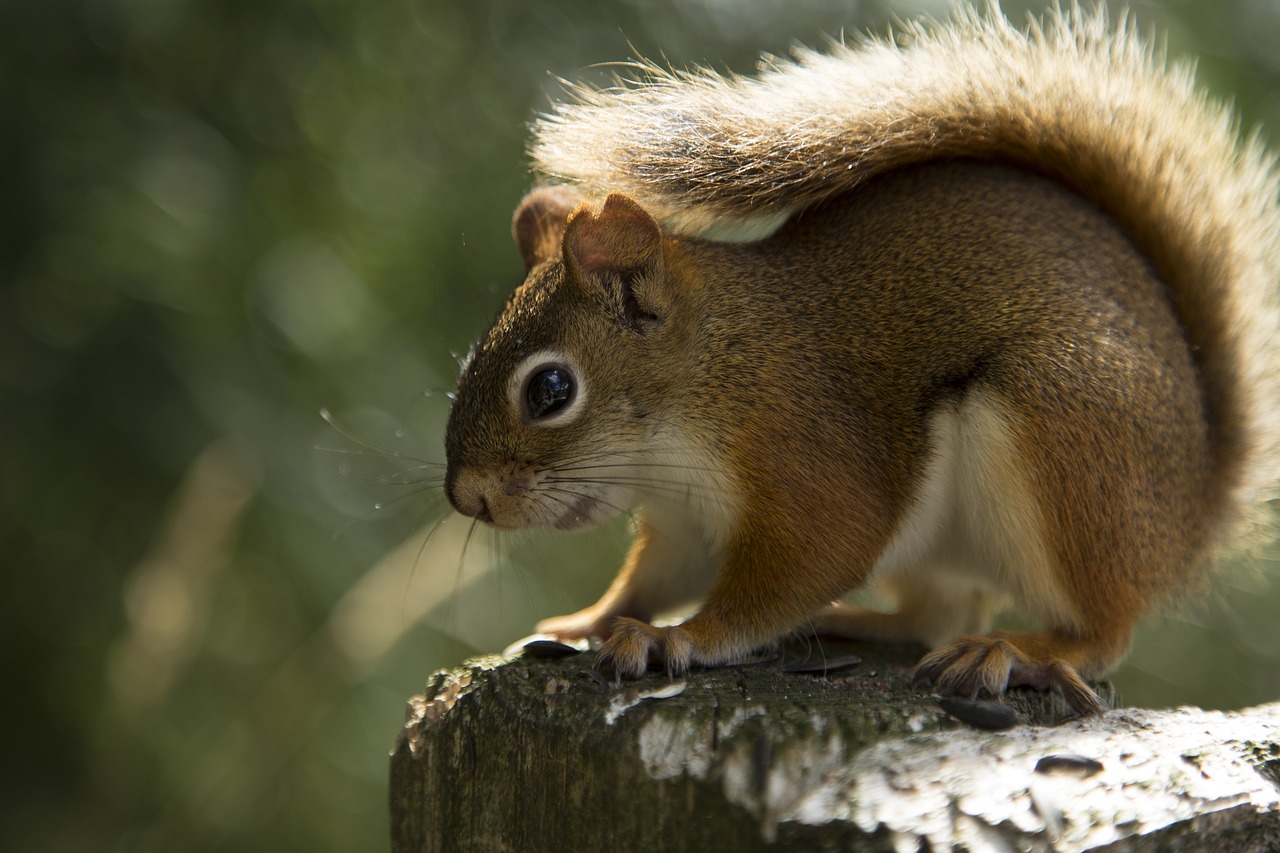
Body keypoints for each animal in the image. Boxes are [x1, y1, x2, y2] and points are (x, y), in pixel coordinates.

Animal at [442, 4, 1280, 712]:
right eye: (467, 365)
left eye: (551, 389)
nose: (467, 499)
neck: (707, 378)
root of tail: (1189, 516)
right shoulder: (682, 522)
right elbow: (651, 579)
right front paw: (589, 620)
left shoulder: (809, 454)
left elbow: (802, 565)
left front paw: (673, 636)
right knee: (938, 613)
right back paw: (859, 622)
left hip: (1064, 441)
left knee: (1102, 631)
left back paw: (1013, 649)